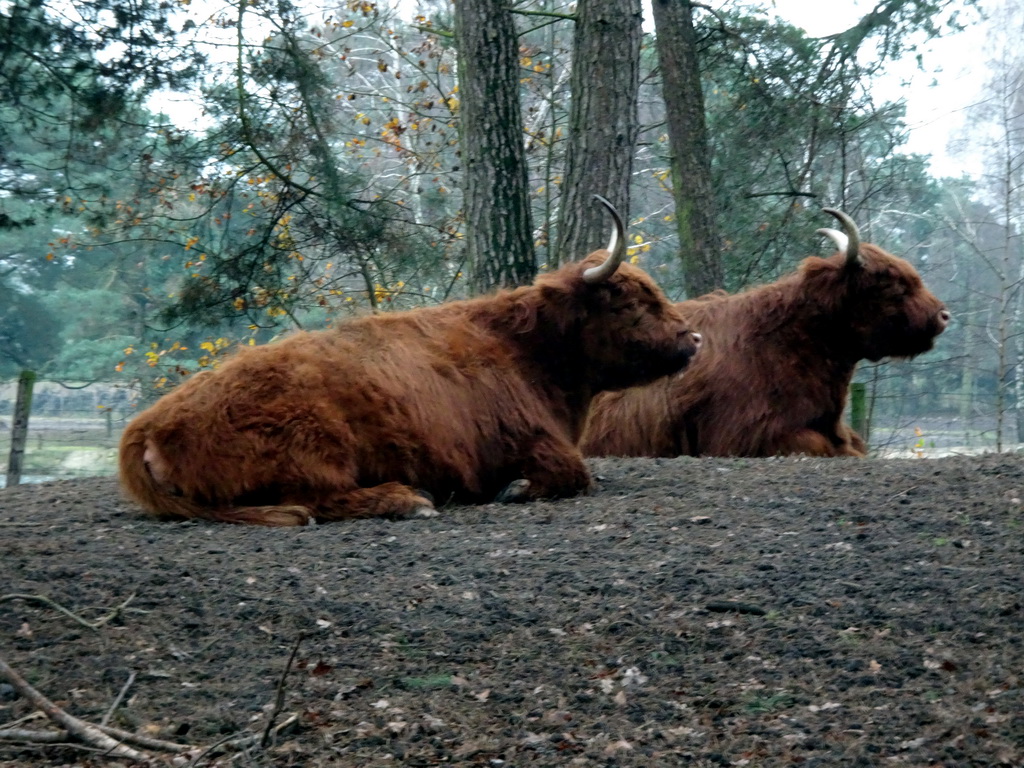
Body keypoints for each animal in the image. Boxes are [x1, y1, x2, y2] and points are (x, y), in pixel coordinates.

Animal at [116, 195, 700, 528]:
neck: (528, 355)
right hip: (314, 450)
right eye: (631, 303)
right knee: (317, 500)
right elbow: (576, 475)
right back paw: (407, 498)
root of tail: (150, 423)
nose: (693, 338)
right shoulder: (537, 444)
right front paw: (514, 490)